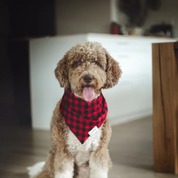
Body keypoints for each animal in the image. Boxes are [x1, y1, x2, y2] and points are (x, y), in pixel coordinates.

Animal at [27, 42, 121, 178]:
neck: (84, 108)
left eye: (97, 62)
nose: (88, 77)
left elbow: (99, 171)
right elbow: (63, 172)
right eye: (77, 62)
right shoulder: (63, 151)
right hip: (51, 163)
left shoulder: (99, 151)